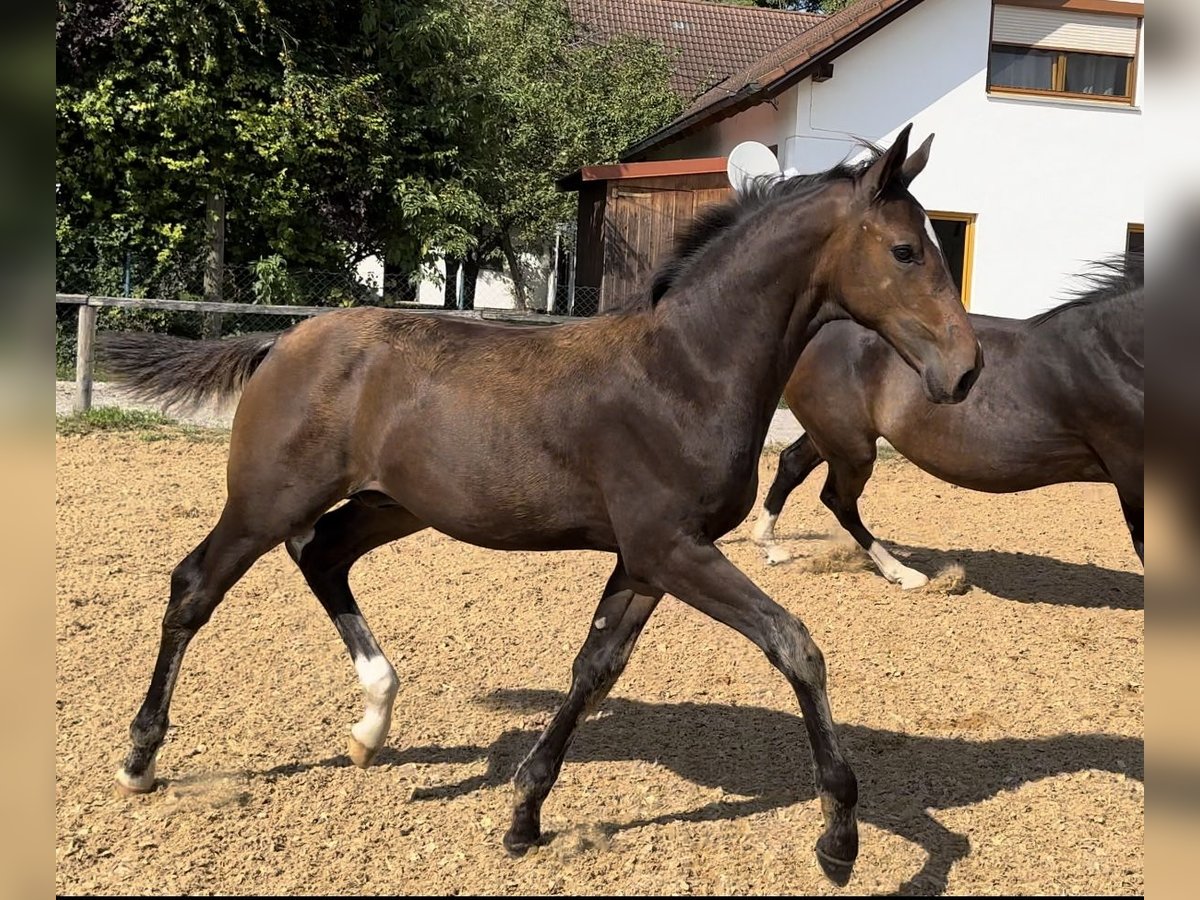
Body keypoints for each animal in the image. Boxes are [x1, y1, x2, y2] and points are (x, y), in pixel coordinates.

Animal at [100, 123, 984, 883]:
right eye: (906, 249)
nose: (967, 370)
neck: (686, 371)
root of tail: (282, 341)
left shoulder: (646, 560)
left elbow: (594, 669)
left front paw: (524, 815)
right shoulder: (673, 547)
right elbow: (794, 644)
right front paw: (840, 838)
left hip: (392, 506)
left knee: (323, 556)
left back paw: (372, 725)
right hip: (267, 501)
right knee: (195, 587)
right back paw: (141, 759)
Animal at [748, 256, 1142, 588]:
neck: (1113, 350)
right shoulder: (1131, 477)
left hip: (832, 436)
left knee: (792, 464)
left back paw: (770, 547)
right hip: (852, 448)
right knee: (838, 499)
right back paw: (903, 574)